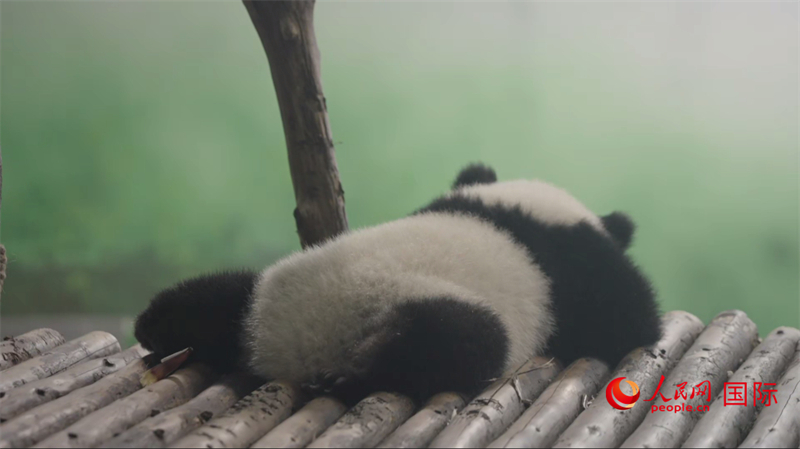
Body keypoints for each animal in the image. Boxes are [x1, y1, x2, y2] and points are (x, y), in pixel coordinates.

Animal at [136, 164, 664, 402]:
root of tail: (295, 346)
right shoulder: (576, 270)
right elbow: (630, 321)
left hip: (267, 290)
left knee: (221, 297)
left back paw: (159, 327)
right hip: (418, 305)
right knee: (460, 340)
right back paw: (359, 375)